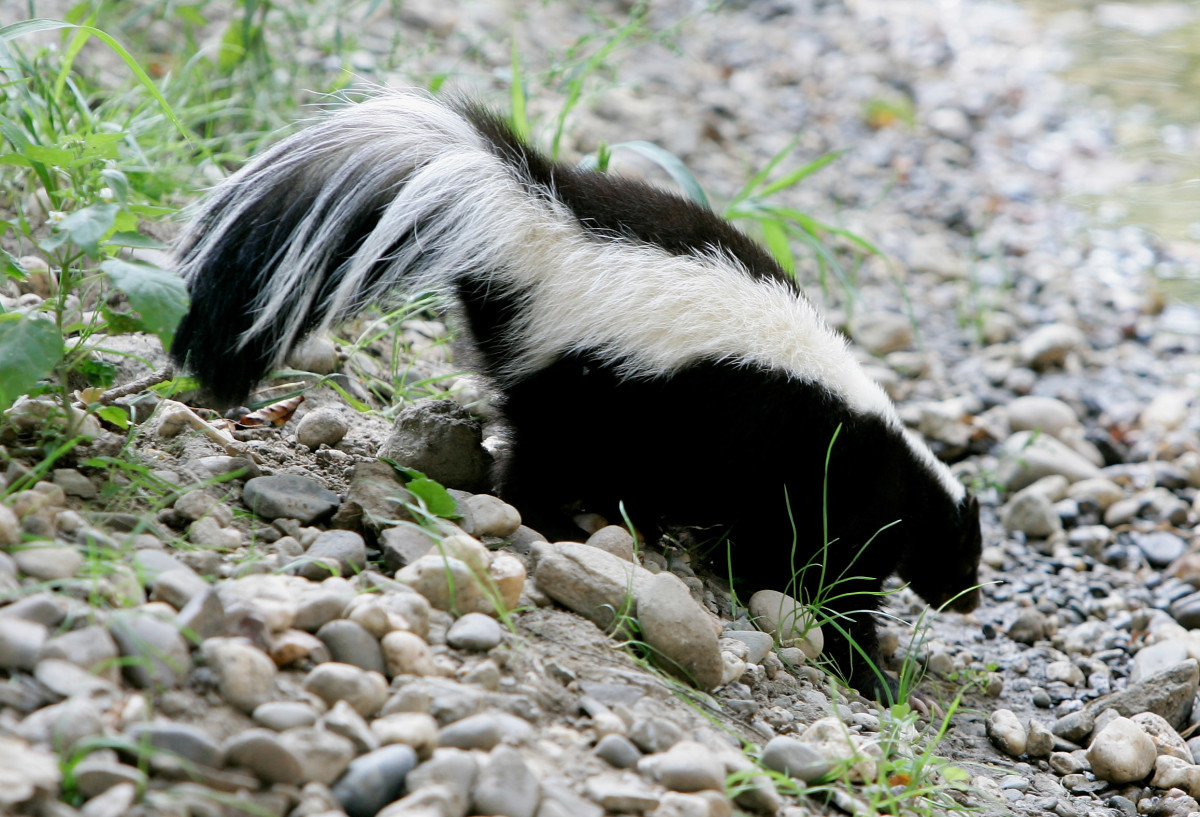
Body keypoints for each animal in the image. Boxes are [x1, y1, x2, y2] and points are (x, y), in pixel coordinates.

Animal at [175, 89, 984, 700]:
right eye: (964, 554)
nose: (971, 600)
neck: (900, 460)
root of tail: (538, 223)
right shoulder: (831, 484)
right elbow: (825, 576)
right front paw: (871, 667)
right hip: (591, 382)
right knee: (535, 460)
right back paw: (559, 522)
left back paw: (631, 524)